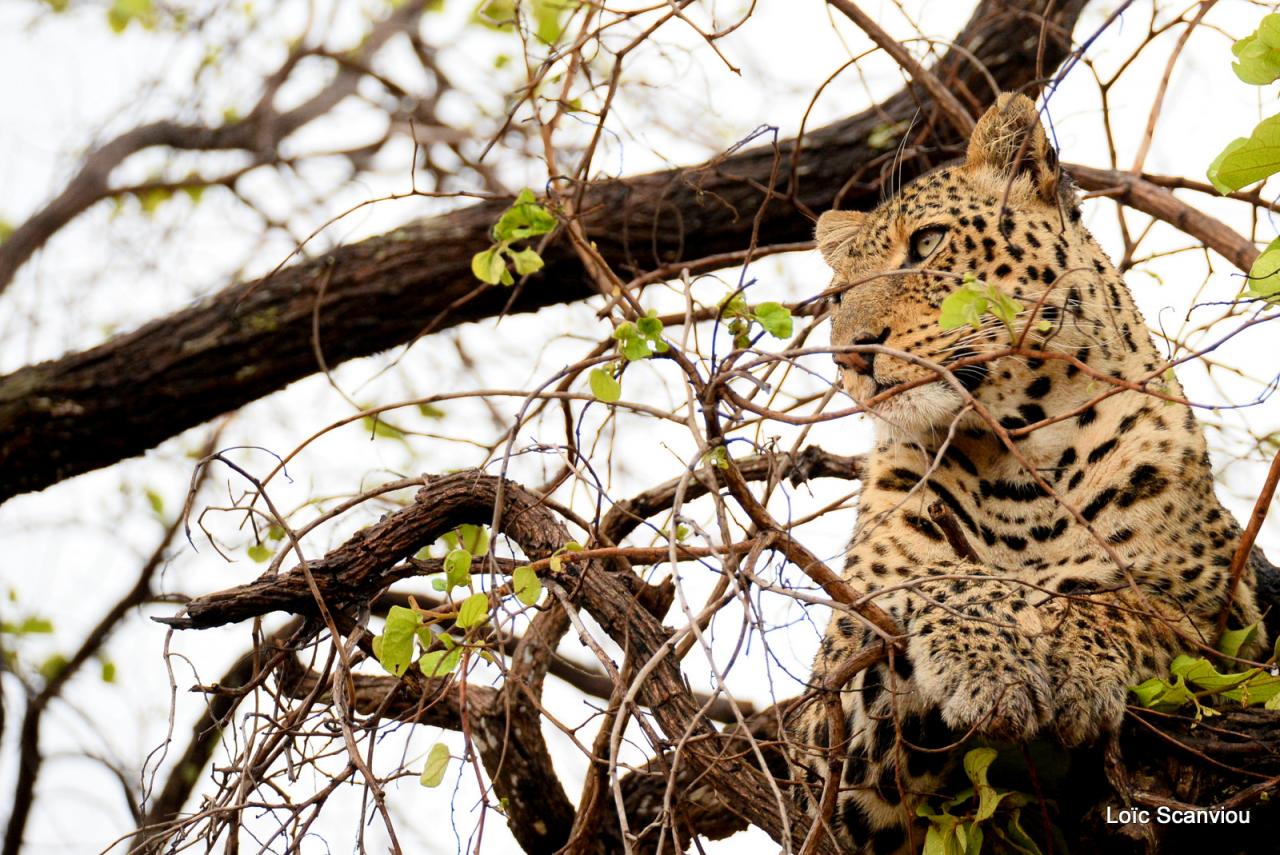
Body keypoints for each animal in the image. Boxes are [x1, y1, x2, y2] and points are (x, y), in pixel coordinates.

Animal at [783, 95, 1264, 855]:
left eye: (928, 243)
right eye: (836, 300)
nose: (852, 355)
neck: (1020, 462)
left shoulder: (1226, 616)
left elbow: (1134, 605)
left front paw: (1076, 656)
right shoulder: (823, 740)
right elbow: (932, 579)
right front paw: (989, 655)